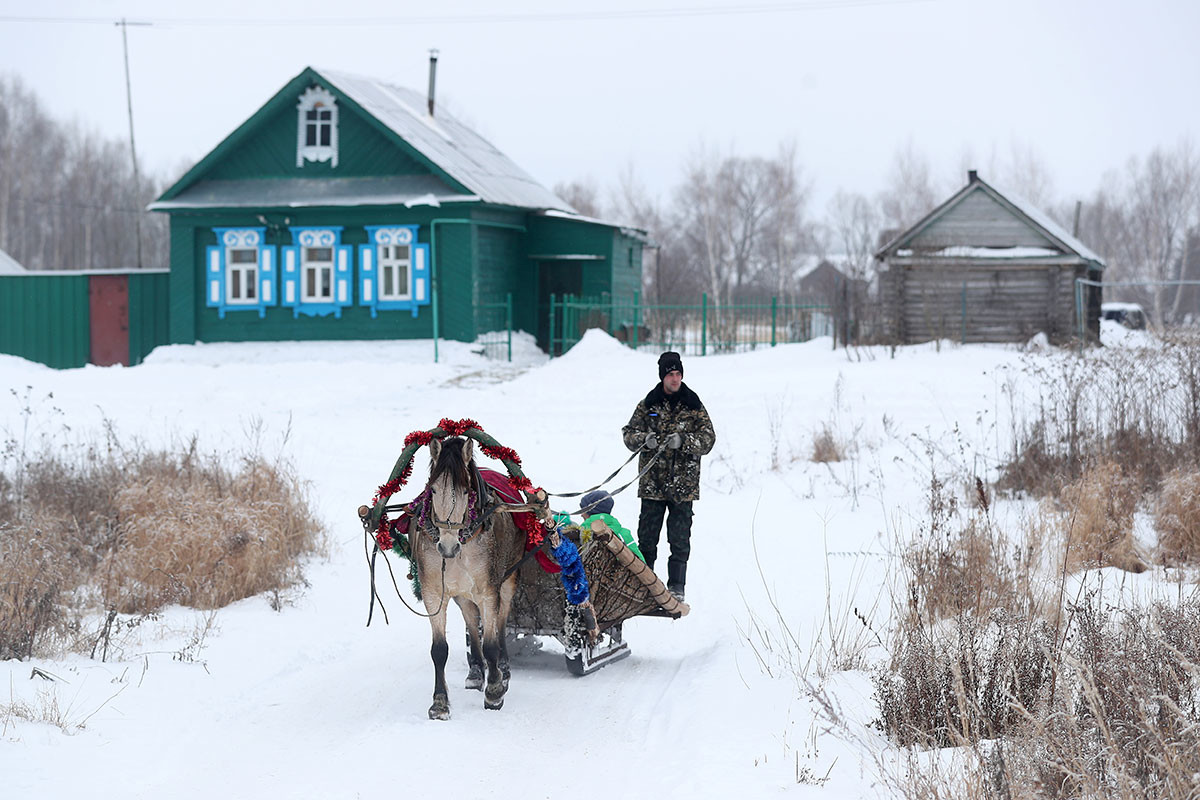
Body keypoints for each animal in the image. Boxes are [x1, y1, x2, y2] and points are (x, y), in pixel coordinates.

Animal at [410, 438, 528, 719]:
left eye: (466, 493)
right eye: (432, 490)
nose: (447, 547)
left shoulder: (488, 591)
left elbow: (491, 644)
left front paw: (494, 692)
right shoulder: (434, 595)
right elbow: (439, 650)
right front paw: (439, 703)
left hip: (508, 579)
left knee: (501, 622)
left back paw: (503, 670)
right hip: (462, 593)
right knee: (472, 622)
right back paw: (476, 671)